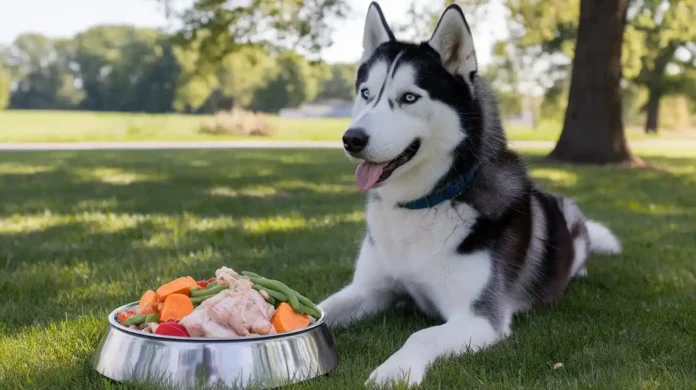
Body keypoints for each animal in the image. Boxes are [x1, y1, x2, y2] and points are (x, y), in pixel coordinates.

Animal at [318, 2, 624, 386]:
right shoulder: (368, 291)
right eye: (366, 93)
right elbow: (318, 308)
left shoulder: (480, 316)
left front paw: (395, 370)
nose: (351, 139)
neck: (423, 204)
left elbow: (421, 335)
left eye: (409, 98)